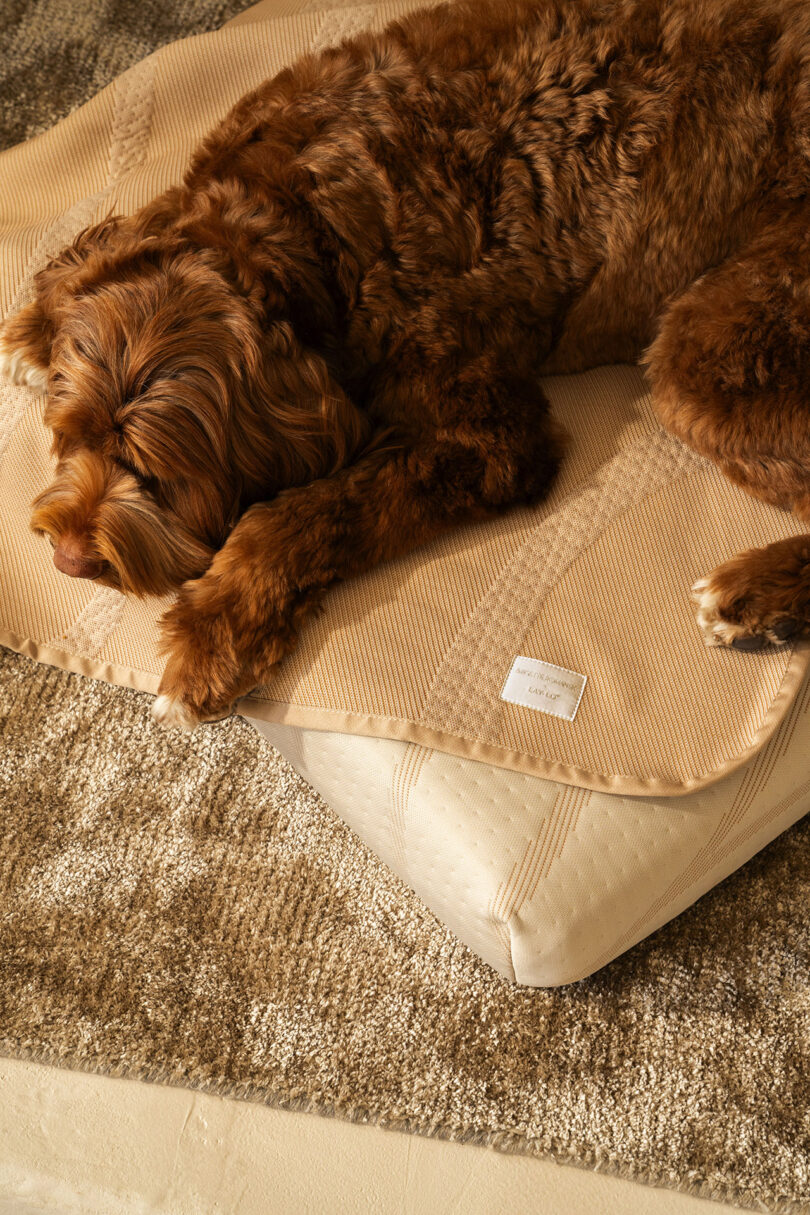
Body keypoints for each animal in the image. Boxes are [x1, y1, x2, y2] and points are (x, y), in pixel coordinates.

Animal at [1, 0, 810, 724]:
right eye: (69, 435)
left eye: (159, 473)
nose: (70, 559)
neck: (292, 224)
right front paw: (36, 327)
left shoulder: (488, 434)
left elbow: (301, 513)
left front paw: (213, 634)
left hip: (711, 353)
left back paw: (755, 598)